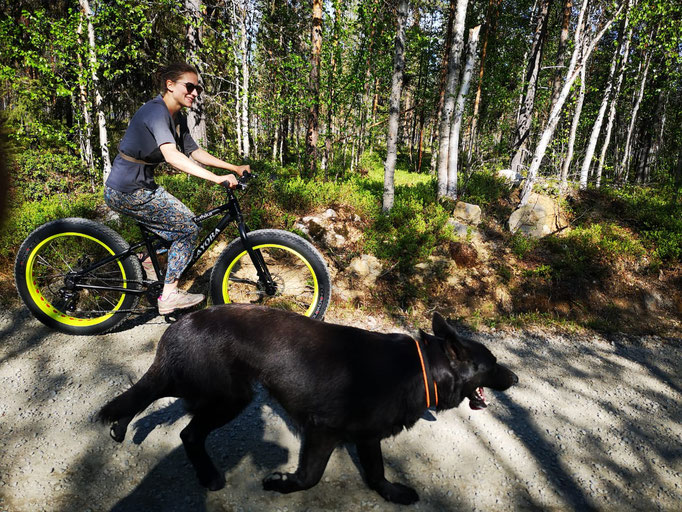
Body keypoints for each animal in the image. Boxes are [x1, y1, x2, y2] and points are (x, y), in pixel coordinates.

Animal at [98, 304, 516, 504]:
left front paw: (392, 495)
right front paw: (283, 484)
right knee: (182, 425)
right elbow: (311, 476)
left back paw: (124, 425)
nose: (515, 379)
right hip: (229, 396)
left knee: (167, 408)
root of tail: (182, 322)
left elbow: (377, 473)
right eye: (493, 364)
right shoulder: (322, 431)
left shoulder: (367, 437)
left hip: (217, 391)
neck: (424, 368)